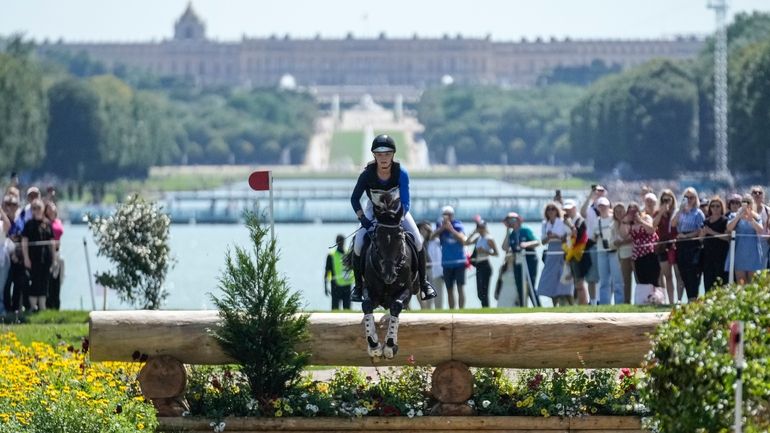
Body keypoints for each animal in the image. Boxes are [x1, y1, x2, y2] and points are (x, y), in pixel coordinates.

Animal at [358, 186, 416, 358]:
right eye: (376, 239)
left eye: (400, 238)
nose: (389, 276)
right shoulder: (370, 290)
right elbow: (366, 305)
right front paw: (374, 344)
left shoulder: (407, 290)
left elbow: (396, 305)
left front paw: (390, 345)